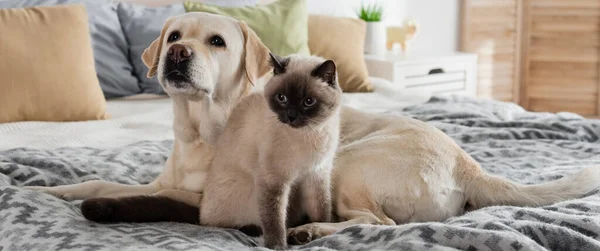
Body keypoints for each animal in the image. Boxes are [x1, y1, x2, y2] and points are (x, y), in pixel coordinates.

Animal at [199, 53, 342, 249]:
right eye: (282, 98)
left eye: (308, 102)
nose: (291, 116)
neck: (310, 133)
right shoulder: (273, 181)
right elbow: (274, 219)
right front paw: (277, 246)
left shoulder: (316, 176)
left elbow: (322, 211)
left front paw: (318, 231)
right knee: (215, 224)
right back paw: (253, 229)